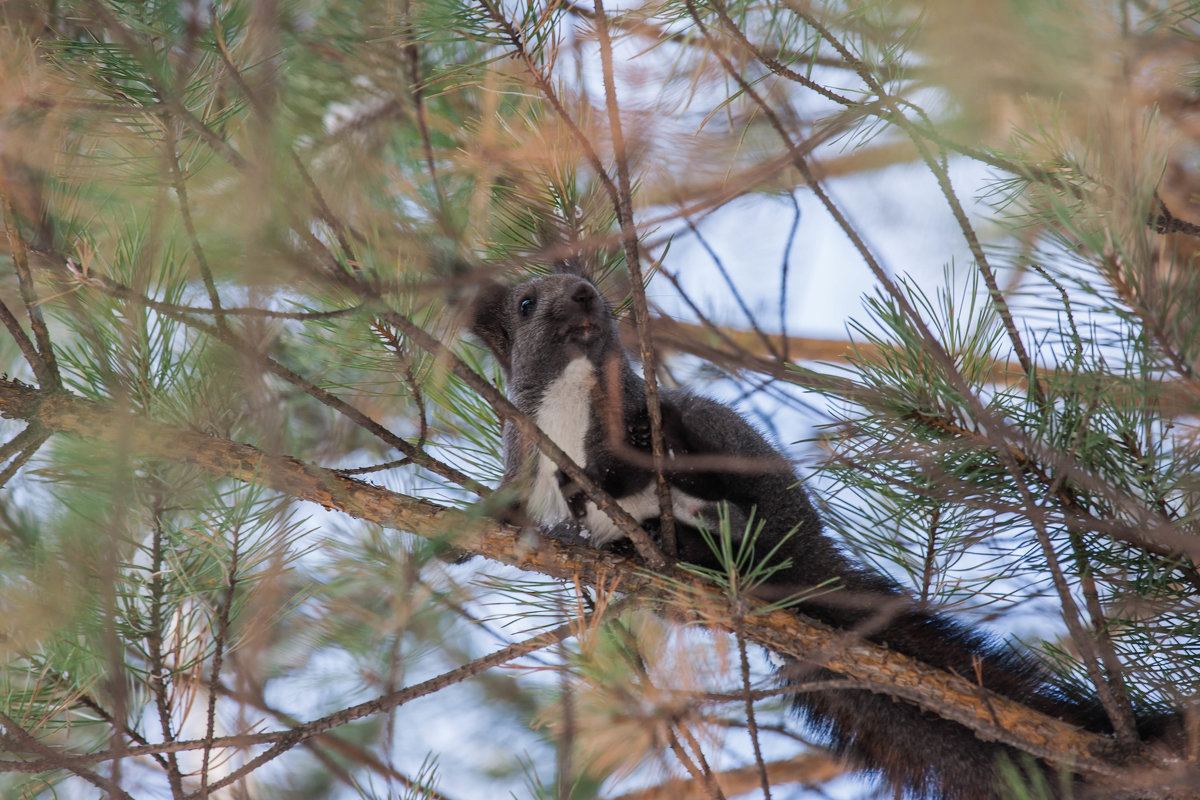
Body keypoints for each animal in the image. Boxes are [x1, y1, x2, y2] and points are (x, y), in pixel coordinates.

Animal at [468, 268, 1171, 800]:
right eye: (527, 304)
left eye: (586, 281)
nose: (586, 295)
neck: (571, 406)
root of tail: (801, 559)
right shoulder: (526, 458)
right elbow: (519, 508)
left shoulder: (625, 405)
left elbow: (633, 451)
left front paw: (632, 456)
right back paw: (653, 547)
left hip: (742, 465)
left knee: (723, 482)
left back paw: (683, 481)